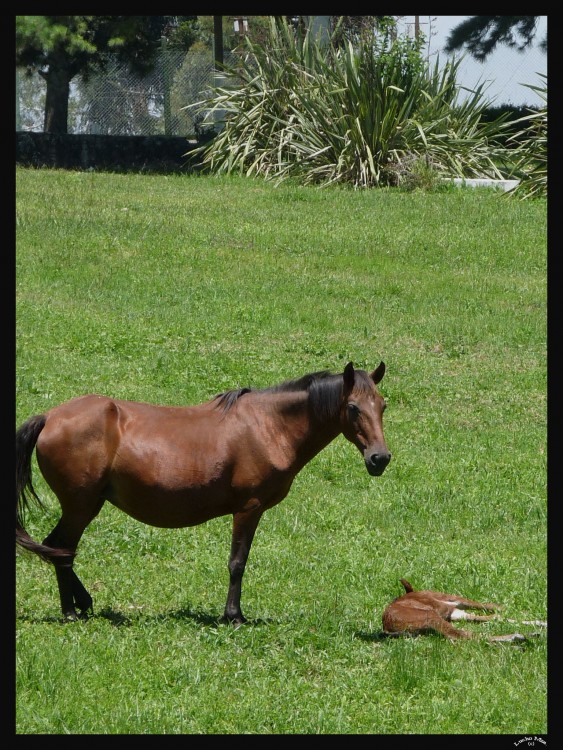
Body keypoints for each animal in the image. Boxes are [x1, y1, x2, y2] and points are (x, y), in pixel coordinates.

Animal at [15, 362, 390, 624]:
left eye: (382, 405)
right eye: (354, 407)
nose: (380, 458)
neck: (269, 427)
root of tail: (49, 417)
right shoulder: (249, 508)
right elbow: (238, 562)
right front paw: (233, 615)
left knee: (55, 548)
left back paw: (83, 603)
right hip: (80, 507)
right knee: (61, 549)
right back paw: (71, 612)